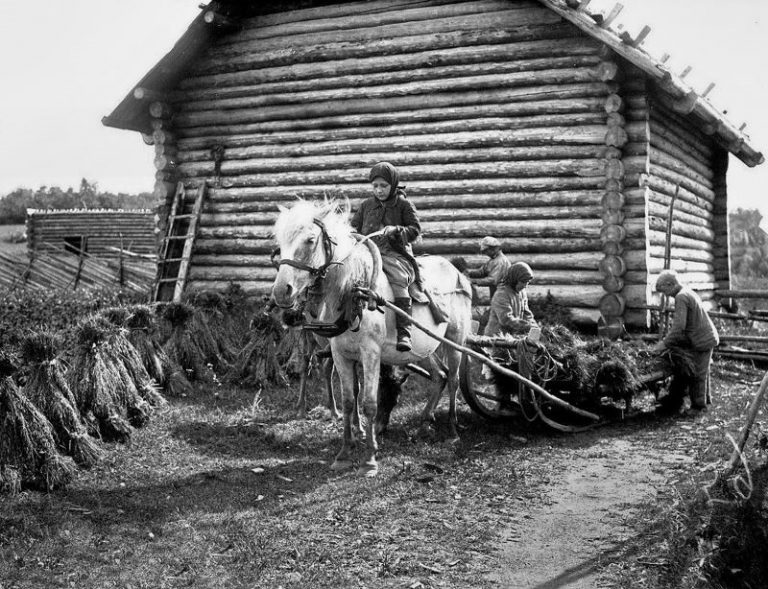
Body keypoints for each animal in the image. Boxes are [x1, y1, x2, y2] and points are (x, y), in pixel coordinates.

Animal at [270, 200, 474, 476]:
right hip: (423, 349)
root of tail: (458, 272)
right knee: (439, 375)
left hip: (455, 341)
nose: (282, 291)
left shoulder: (370, 355)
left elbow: (368, 402)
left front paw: (370, 458)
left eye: (311, 240)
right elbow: (348, 400)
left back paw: (452, 430)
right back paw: (424, 420)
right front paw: (345, 452)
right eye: (280, 241)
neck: (353, 293)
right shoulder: (341, 355)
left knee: (453, 379)